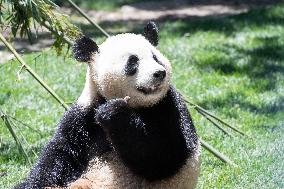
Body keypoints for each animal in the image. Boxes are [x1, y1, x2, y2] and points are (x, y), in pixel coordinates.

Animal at [15, 21, 200, 188]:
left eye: (156, 58)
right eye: (133, 62)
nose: (159, 73)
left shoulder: (168, 106)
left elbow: (163, 156)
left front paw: (113, 113)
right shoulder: (84, 115)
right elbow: (61, 154)